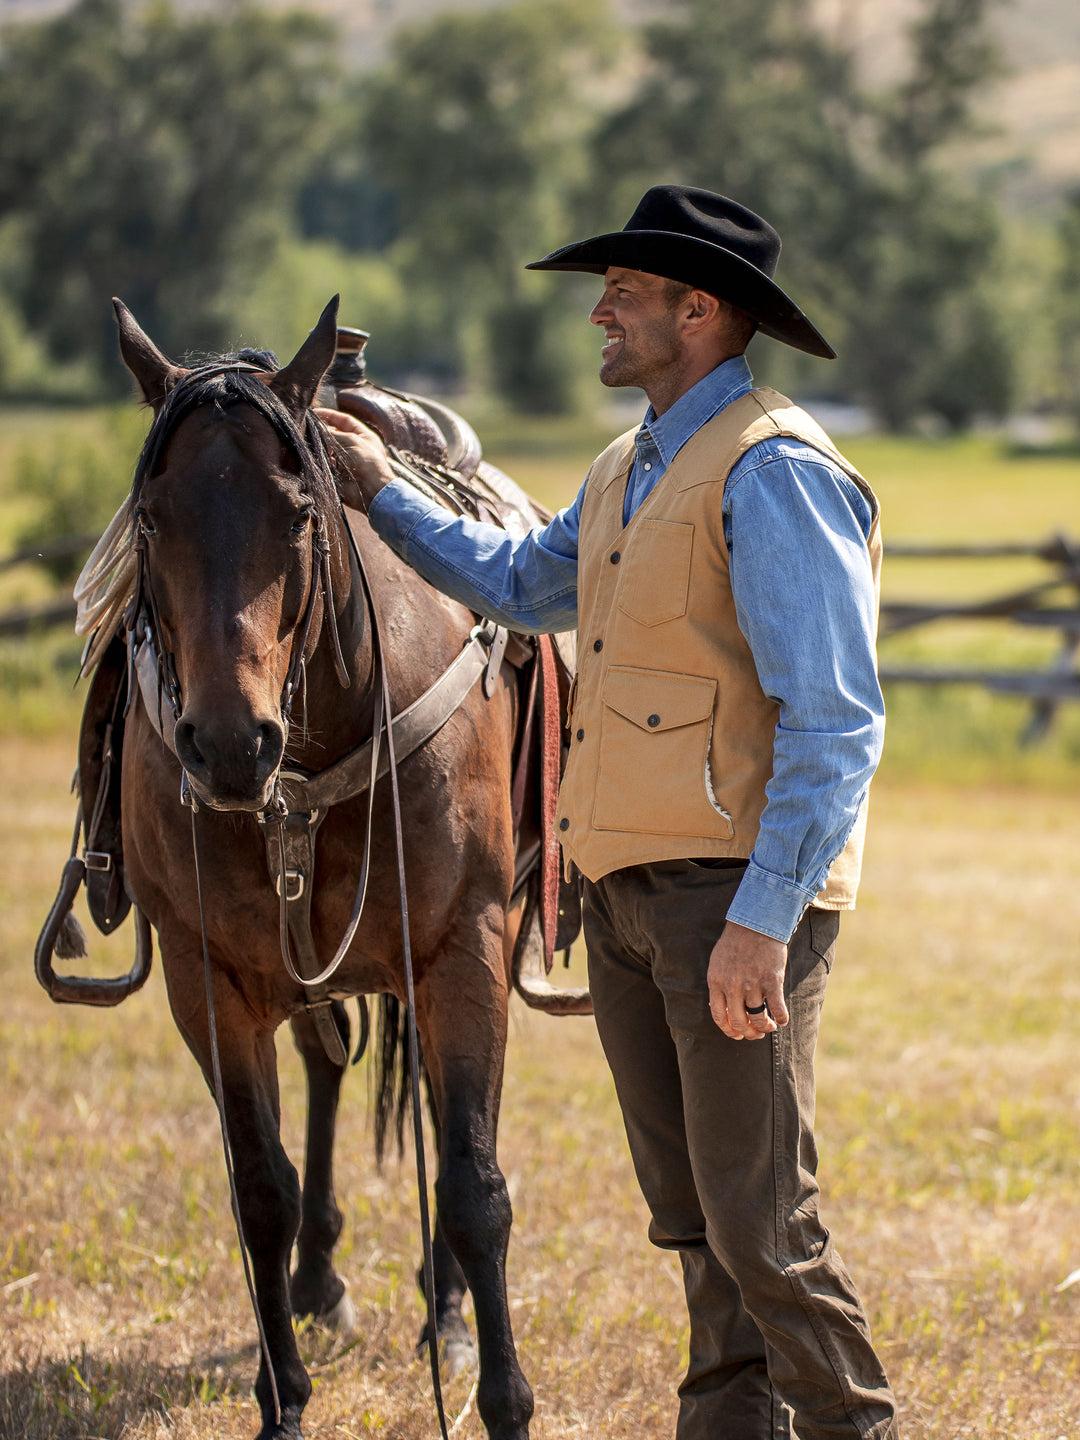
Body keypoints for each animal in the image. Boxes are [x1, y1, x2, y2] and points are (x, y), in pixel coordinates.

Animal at [101, 295, 538, 1440]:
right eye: (151, 519)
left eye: (300, 512)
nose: (227, 742)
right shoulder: (207, 977)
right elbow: (261, 1189)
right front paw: (282, 1398)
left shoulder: (462, 950)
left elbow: (473, 1186)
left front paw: (502, 1396)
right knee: (328, 1068)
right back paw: (319, 1282)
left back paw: (445, 1316)